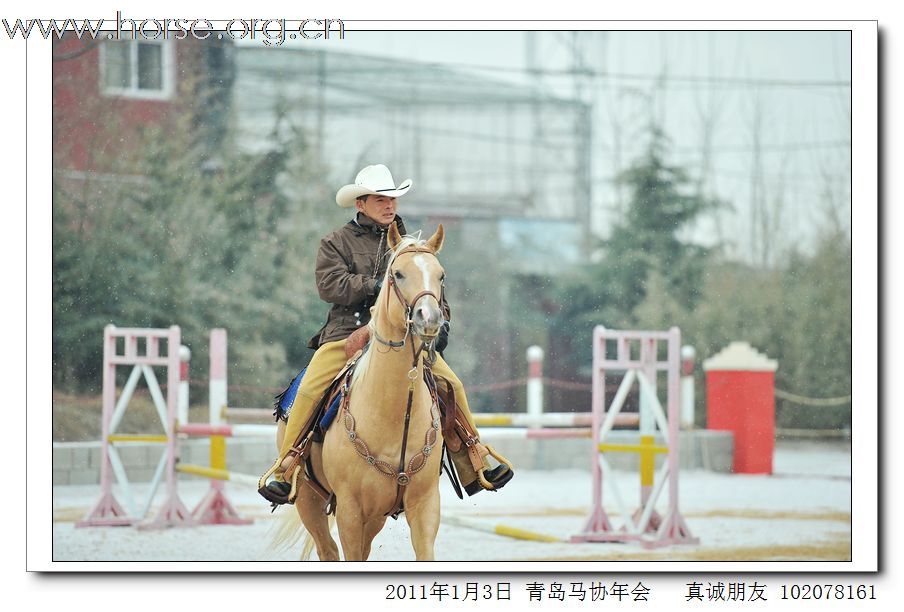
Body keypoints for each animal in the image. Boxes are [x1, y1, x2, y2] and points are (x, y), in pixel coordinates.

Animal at [278, 225, 446, 560]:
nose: (430, 318)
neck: (393, 413)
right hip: (308, 500)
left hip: (376, 515)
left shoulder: (424, 505)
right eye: (397, 274)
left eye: (441, 275)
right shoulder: (350, 510)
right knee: (327, 549)